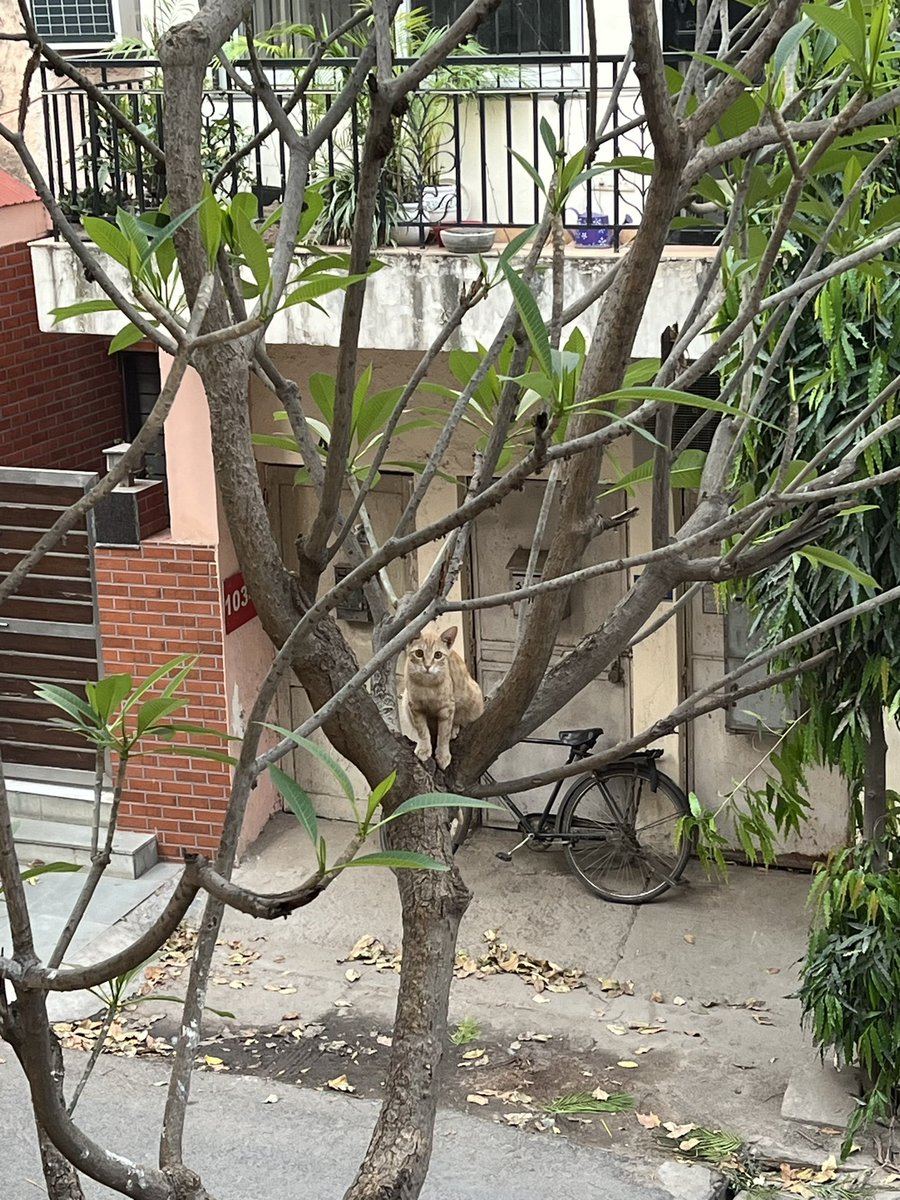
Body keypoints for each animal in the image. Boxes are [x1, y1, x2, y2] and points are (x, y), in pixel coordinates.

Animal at [403, 624, 487, 763]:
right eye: (419, 653)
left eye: (438, 655)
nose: (427, 666)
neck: (427, 685)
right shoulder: (415, 706)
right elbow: (422, 730)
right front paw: (424, 749)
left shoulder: (447, 708)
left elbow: (444, 734)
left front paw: (443, 756)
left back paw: (454, 729)